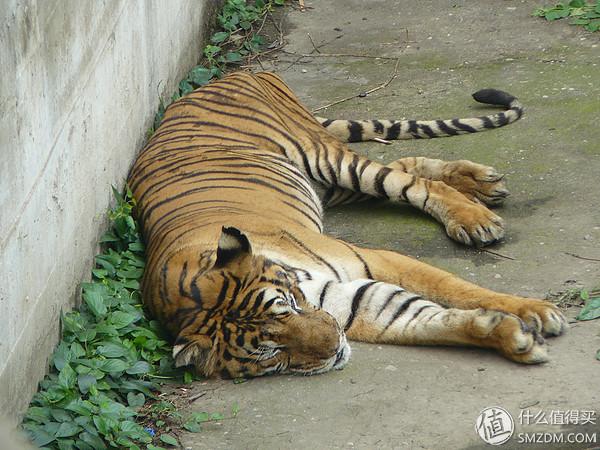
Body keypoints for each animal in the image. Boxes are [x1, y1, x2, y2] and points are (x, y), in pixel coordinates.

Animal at [126, 71, 568, 380]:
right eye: (270, 352)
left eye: (286, 307)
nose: (335, 344)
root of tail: (238, 73)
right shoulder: (356, 300)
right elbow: (428, 320)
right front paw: (512, 336)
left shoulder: (371, 260)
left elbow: (457, 288)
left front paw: (535, 311)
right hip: (331, 187)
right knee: (407, 166)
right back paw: (483, 184)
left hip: (330, 160)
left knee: (409, 181)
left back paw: (476, 217)